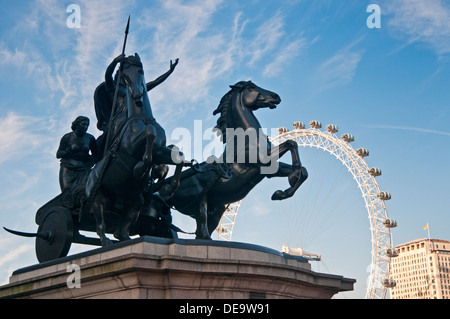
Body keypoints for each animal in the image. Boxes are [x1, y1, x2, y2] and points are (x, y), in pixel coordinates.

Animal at [159, 81, 310, 241]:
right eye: (251, 87)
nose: (276, 96)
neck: (246, 138)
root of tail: (167, 188)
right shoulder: (263, 160)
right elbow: (291, 143)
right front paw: (292, 177)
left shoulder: (270, 169)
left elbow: (304, 170)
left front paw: (282, 192)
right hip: (198, 203)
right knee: (201, 231)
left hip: (216, 208)